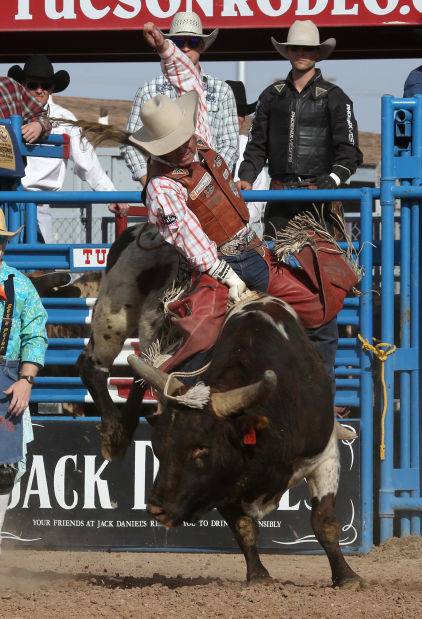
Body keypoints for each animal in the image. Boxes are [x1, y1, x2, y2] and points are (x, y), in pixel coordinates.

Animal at [75, 222, 360, 588]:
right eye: (158, 450)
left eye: (202, 449)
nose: (156, 508)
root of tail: (139, 227)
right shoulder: (221, 481)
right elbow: (243, 527)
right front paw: (259, 577)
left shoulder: (324, 455)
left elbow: (324, 521)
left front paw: (346, 577)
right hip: (115, 306)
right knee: (93, 364)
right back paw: (114, 432)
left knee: (141, 375)